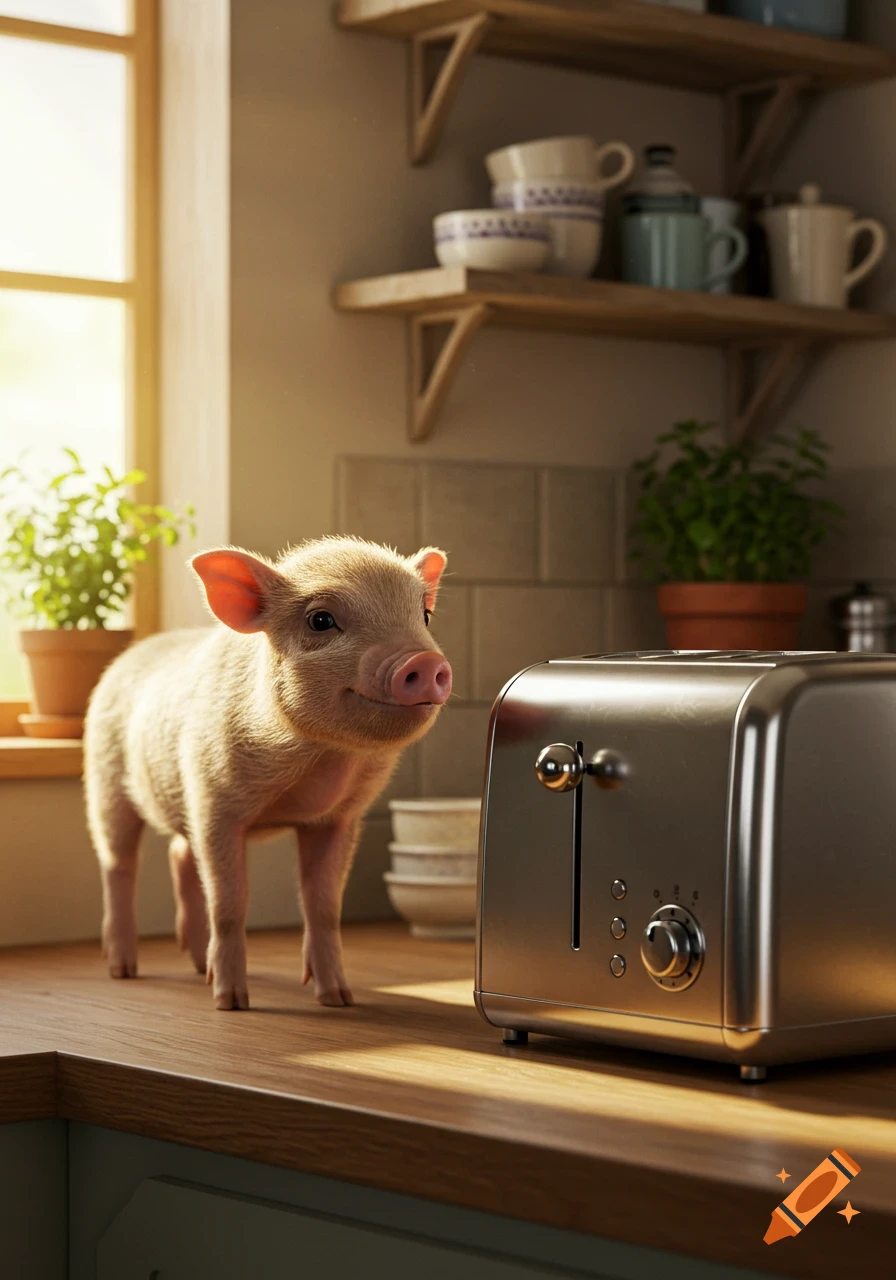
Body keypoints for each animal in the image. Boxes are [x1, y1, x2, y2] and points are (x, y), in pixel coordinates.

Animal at [83, 537, 451, 1010]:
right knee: (118, 865)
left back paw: (197, 967)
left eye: (424, 615)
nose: (423, 661)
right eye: (320, 620)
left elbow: (324, 905)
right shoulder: (213, 801)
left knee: (180, 854)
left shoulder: (338, 818)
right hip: (105, 783)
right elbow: (229, 902)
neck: (319, 761)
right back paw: (123, 971)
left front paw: (338, 999)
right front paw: (231, 1003)